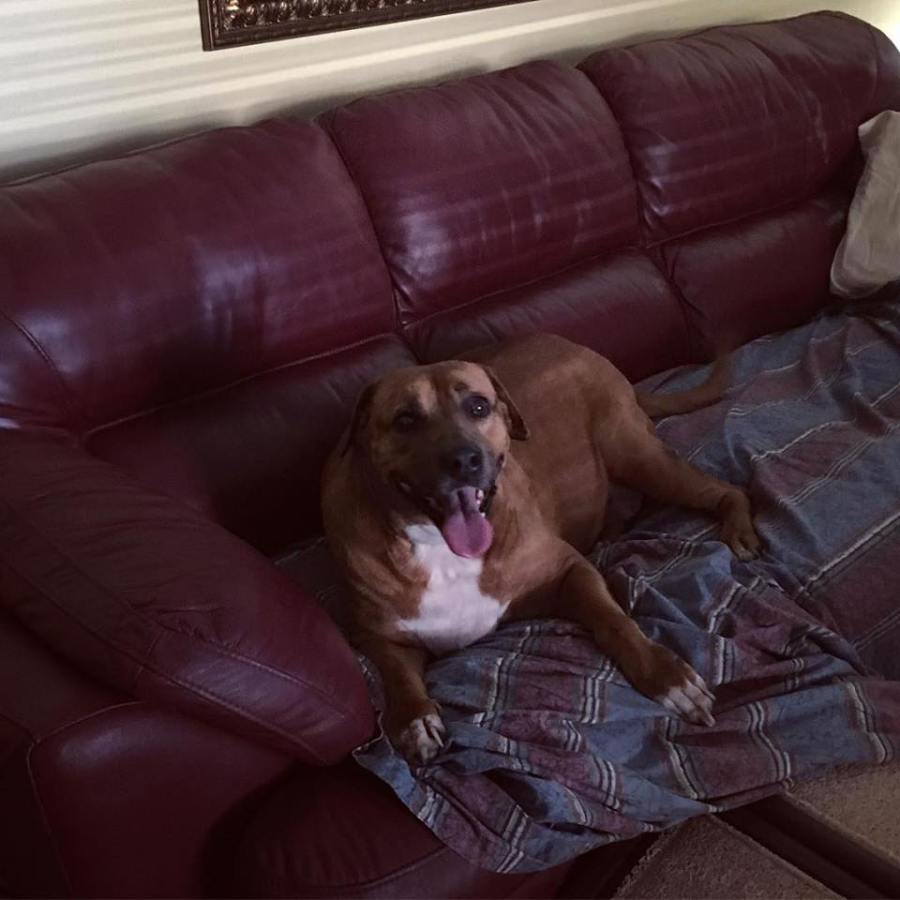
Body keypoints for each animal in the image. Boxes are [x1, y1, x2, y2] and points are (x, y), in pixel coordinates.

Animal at [322, 335, 760, 765]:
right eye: (405, 420)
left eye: (478, 406)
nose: (464, 459)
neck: (441, 551)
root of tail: (578, 346)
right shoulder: (377, 635)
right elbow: (398, 677)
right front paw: (416, 721)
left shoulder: (570, 570)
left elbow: (614, 620)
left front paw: (665, 676)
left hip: (638, 457)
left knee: (725, 489)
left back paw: (738, 526)